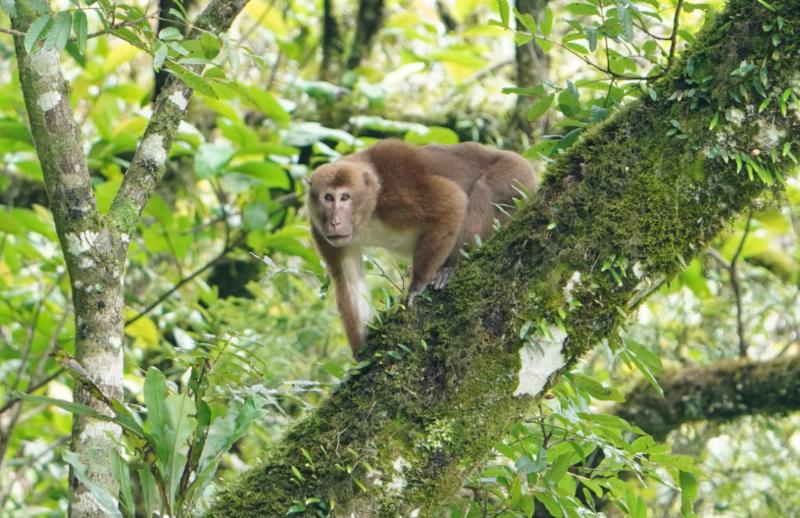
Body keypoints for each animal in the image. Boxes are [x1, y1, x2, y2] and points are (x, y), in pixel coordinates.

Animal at [306, 140, 536, 356]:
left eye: (345, 197)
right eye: (328, 197)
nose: (334, 222)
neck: (369, 212)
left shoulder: (397, 193)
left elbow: (451, 202)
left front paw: (417, 287)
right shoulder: (320, 230)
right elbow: (348, 279)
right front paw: (361, 355)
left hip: (515, 176)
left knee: (484, 189)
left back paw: (451, 267)